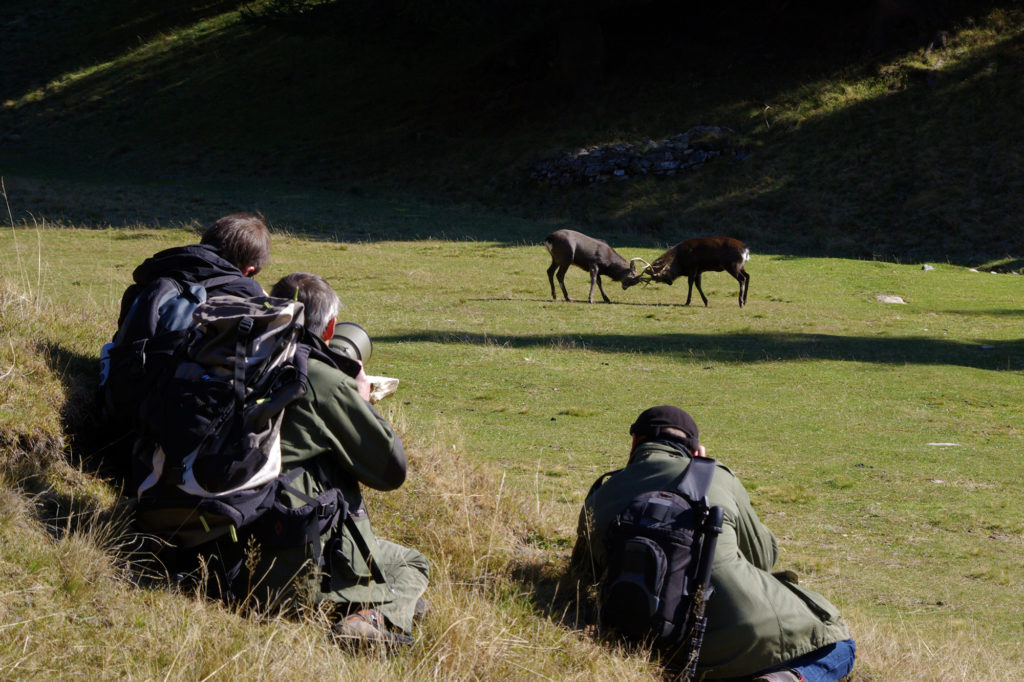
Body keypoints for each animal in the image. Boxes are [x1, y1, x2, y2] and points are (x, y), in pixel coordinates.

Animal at [622, 235, 753, 307]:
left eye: (661, 276)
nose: (670, 282)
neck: (680, 260)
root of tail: (746, 250)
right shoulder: (699, 270)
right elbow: (698, 284)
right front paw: (705, 301)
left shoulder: (693, 266)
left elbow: (691, 283)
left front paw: (688, 302)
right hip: (740, 266)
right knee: (748, 275)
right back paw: (745, 300)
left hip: (732, 265)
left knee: (742, 278)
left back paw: (741, 302)